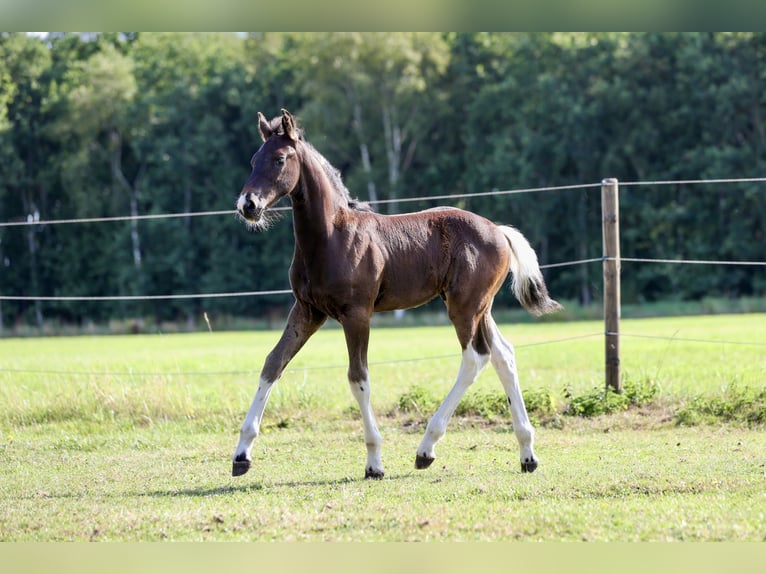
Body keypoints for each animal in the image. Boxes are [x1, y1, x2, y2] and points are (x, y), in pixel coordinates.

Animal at [232, 109, 562, 480]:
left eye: (279, 159)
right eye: (253, 160)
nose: (248, 204)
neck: (331, 236)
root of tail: (500, 231)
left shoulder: (356, 314)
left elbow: (358, 377)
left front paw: (374, 462)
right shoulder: (306, 311)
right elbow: (273, 363)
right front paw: (241, 454)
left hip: (464, 307)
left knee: (475, 357)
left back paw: (426, 448)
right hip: (482, 308)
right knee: (503, 355)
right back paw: (527, 453)